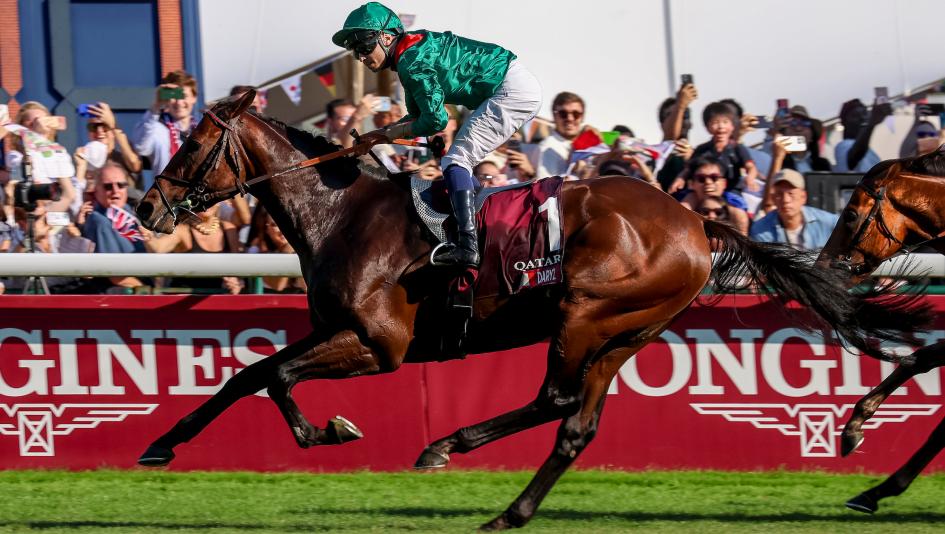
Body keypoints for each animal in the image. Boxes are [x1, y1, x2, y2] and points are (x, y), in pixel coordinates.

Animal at [134, 91, 931, 530]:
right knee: (576, 423)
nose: (145, 208)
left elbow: (276, 379)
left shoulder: (379, 343)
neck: (340, 212)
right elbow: (247, 375)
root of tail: (693, 219)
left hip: (585, 310)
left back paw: (446, 445)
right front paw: (161, 445)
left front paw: (327, 430)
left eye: (195, 143)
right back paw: (506, 509)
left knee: (554, 397)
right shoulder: (333, 329)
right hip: (627, 331)